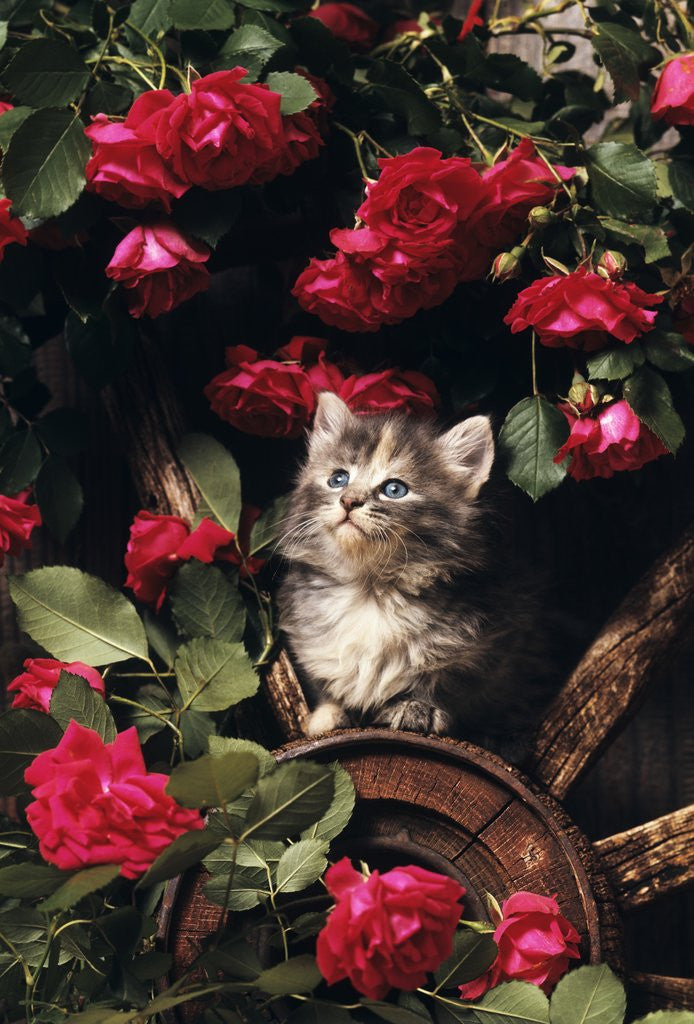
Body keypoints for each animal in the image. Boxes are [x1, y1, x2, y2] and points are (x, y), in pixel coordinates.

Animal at [276, 391, 552, 753]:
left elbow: (450, 681)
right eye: (338, 479)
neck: (370, 589)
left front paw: (417, 707)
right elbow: (324, 679)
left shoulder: (496, 639)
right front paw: (329, 713)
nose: (348, 500)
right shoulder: (307, 634)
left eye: (395, 489)